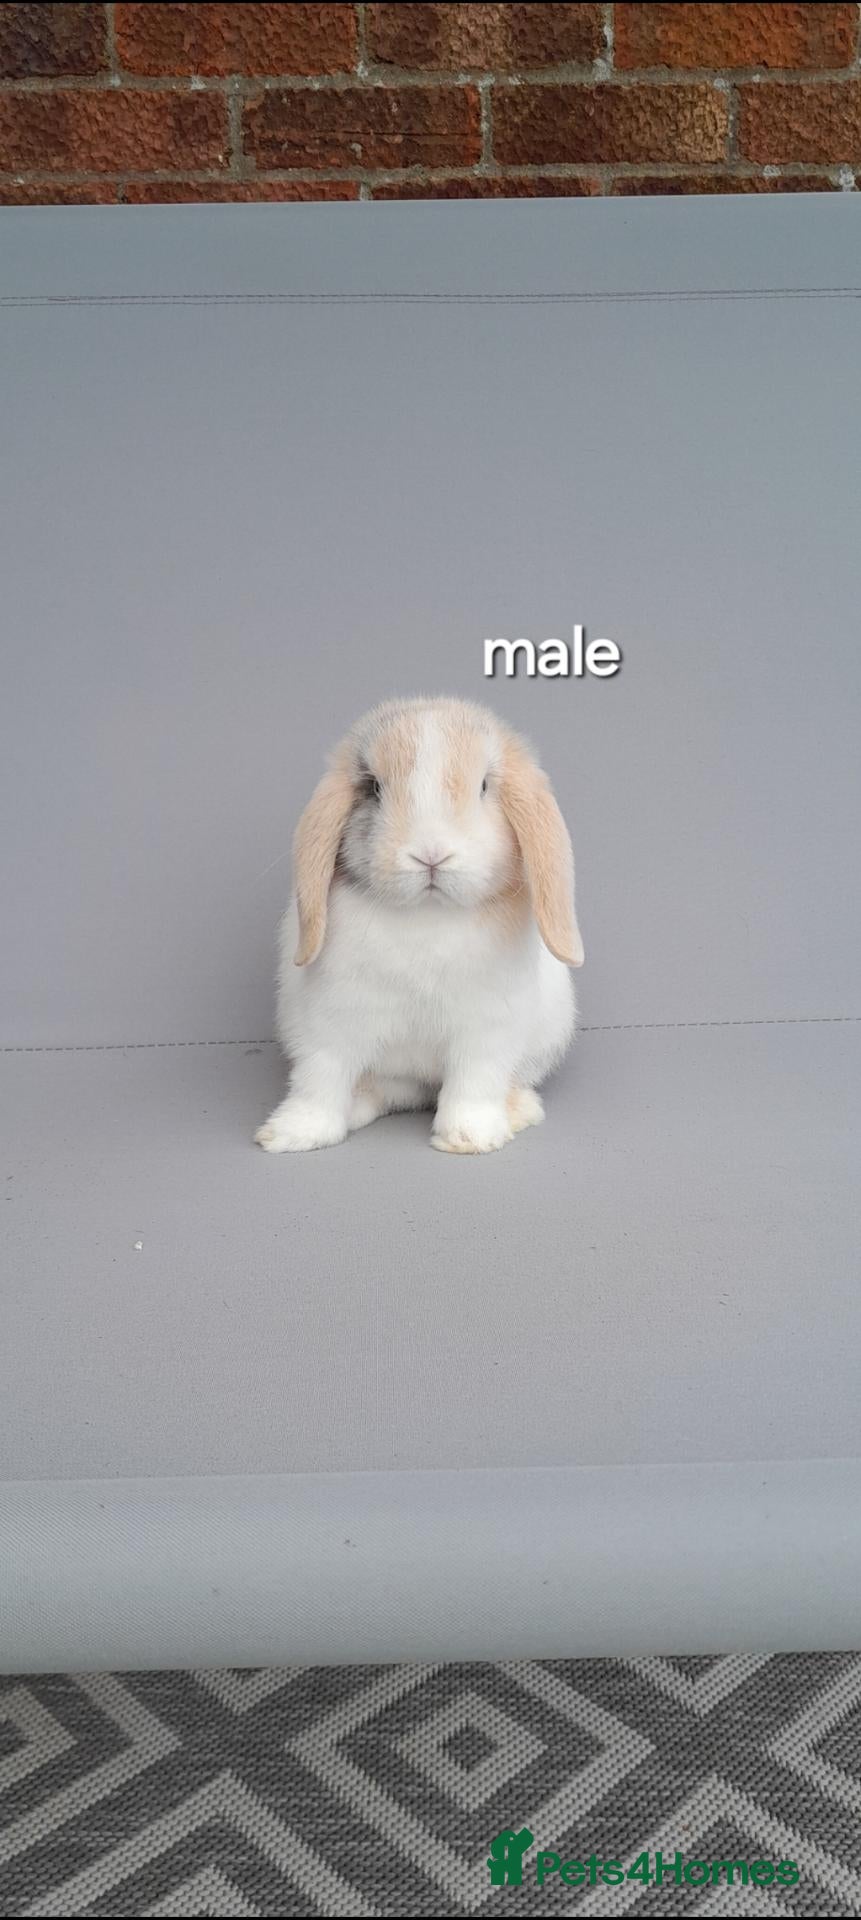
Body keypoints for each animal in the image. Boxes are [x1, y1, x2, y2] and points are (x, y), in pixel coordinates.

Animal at [255, 696, 584, 1156]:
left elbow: (473, 1083)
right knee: (388, 1091)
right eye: (374, 788)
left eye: (484, 787)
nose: (431, 854)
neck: (427, 914)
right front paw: (292, 1134)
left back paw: (519, 1110)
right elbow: (319, 1079)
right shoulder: (330, 1024)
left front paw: (467, 1138)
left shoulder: (484, 1032)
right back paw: (358, 1106)